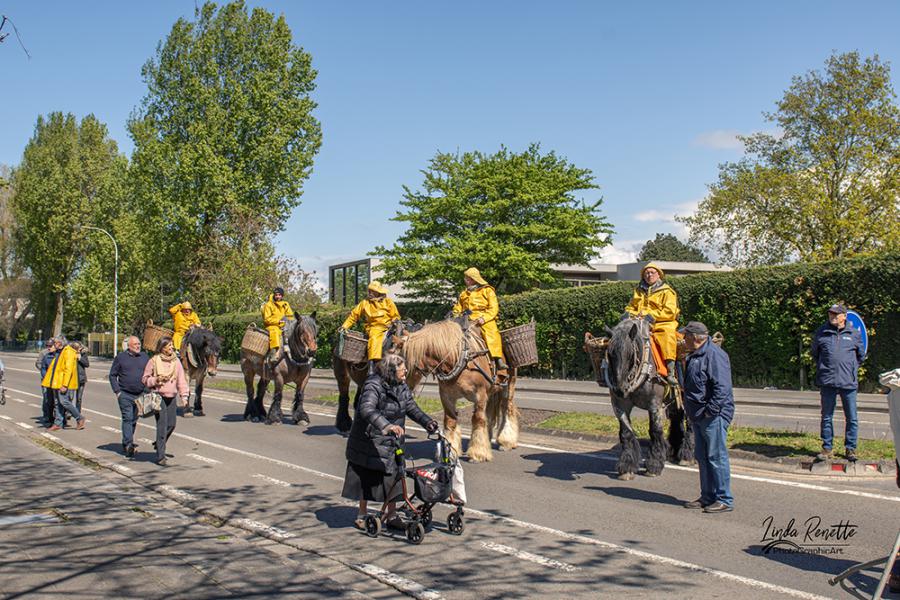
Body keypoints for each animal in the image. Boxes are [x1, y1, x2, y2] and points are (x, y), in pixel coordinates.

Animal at [396, 318, 520, 464]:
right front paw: (450, 452)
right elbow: (450, 421)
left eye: (406, 364)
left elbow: (478, 419)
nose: (403, 386)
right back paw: (488, 439)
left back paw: (506, 442)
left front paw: (478, 453)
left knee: (507, 409)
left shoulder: (480, 395)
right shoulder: (447, 396)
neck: (459, 361)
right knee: (489, 415)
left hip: (508, 386)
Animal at [588, 316, 692, 480]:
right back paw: (674, 451)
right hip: (674, 401)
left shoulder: (654, 404)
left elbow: (655, 431)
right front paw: (627, 466)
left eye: (630, 354)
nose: (620, 389)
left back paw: (687, 455)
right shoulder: (619, 404)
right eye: (609, 354)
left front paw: (654, 465)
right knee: (677, 419)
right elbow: (626, 432)